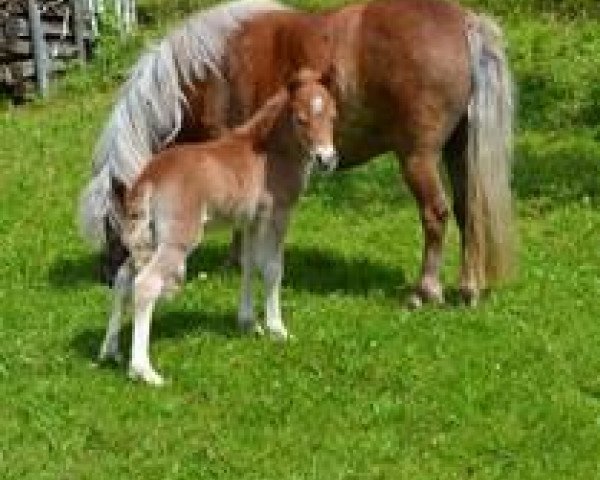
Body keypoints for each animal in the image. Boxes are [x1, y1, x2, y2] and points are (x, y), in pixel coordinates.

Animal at [78, 0, 510, 308]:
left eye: (110, 221)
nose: (105, 277)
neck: (204, 73)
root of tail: (464, 22)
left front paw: (234, 262)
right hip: (457, 152)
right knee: (467, 211)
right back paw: (468, 289)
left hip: (417, 158)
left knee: (435, 215)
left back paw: (426, 290)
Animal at [101, 72, 340, 386]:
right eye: (301, 119)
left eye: (333, 116)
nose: (327, 159)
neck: (268, 151)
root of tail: (151, 176)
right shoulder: (277, 215)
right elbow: (273, 268)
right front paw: (278, 329)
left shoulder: (251, 220)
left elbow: (250, 265)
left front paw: (249, 324)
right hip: (178, 240)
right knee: (145, 285)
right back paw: (144, 371)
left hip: (147, 237)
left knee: (123, 277)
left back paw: (110, 351)